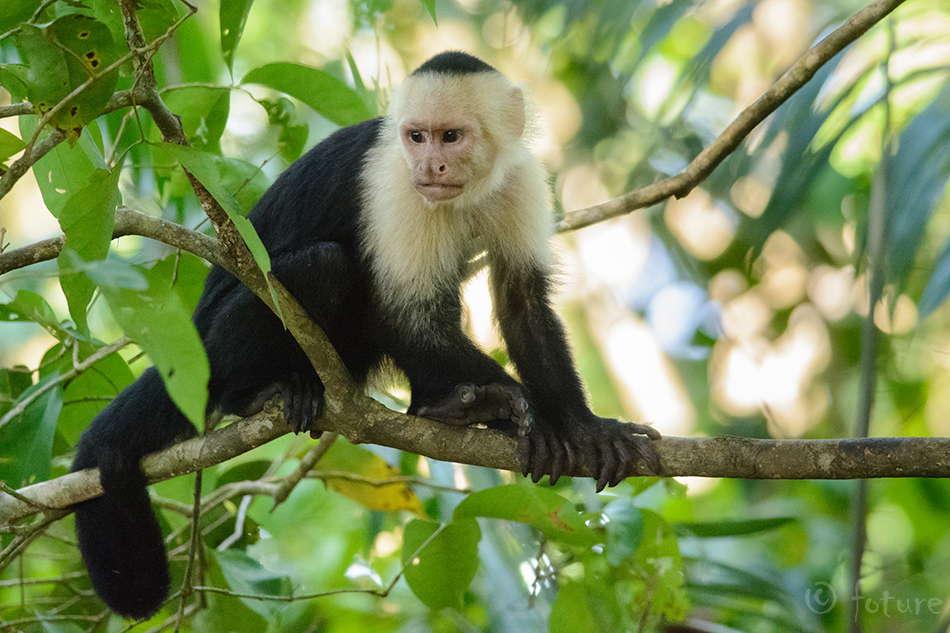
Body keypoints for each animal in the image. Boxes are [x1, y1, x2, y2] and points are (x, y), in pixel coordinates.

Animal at [72, 50, 660, 616]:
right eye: (417, 136)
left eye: (451, 136)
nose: (430, 163)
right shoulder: (394, 186)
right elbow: (401, 312)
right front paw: (528, 410)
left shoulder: (520, 179)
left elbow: (522, 304)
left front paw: (582, 427)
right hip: (214, 341)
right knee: (324, 268)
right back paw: (256, 394)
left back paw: (440, 407)